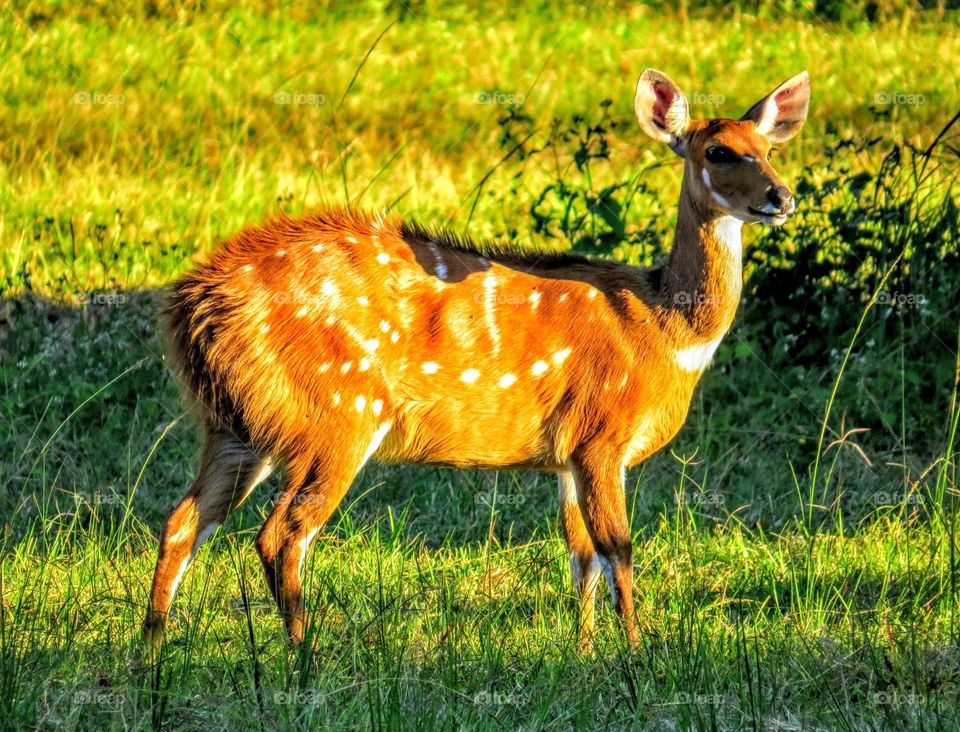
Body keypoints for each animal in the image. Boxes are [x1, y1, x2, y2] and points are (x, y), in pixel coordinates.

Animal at [143, 68, 809, 653]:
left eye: (769, 149)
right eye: (719, 152)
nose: (781, 197)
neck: (663, 327)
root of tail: (195, 303)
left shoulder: (566, 455)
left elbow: (580, 556)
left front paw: (585, 652)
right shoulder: (602, 435)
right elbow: (617, 547)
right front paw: (638, 652)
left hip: (238, 423)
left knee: (182, 521)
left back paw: (151, 650)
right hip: (338, 413)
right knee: (282, 533)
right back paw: (304, 654)